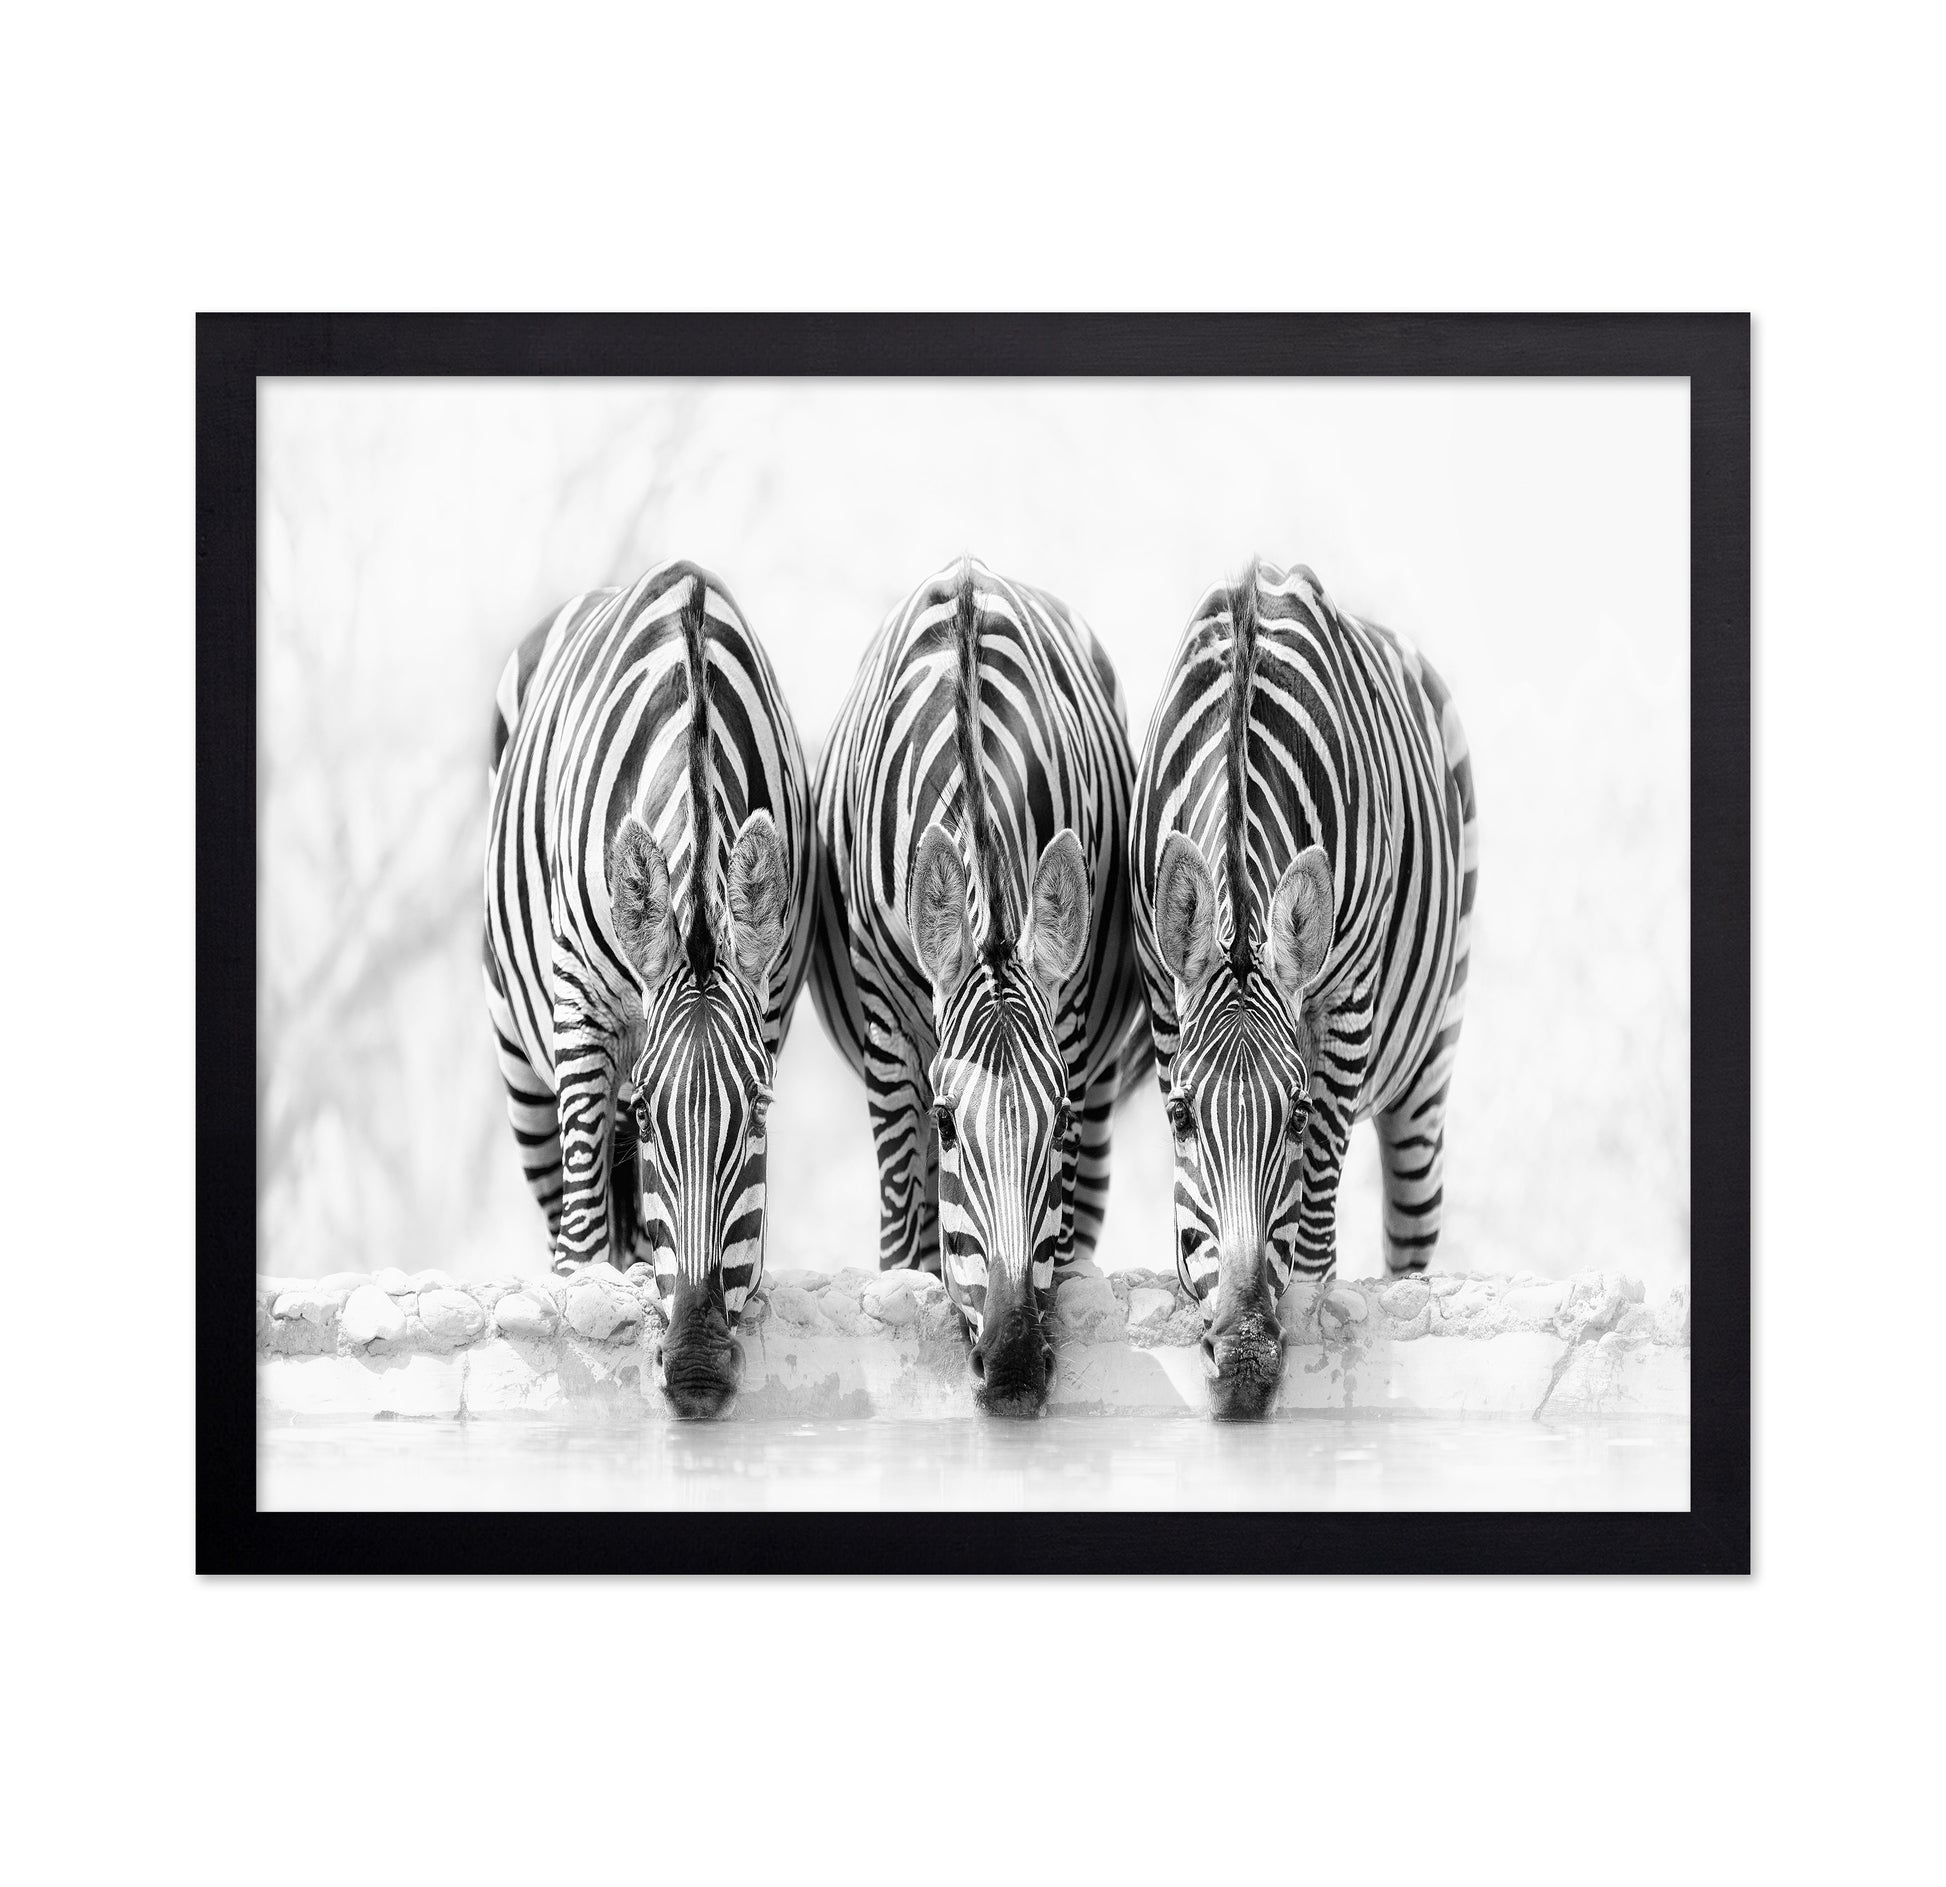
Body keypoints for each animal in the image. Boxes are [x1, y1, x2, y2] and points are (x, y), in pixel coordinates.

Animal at [482, 559, 814, 1418]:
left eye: (757, 1110)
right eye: (652, 1119)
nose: (696, 1371)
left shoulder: (769, 998)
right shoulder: (579, 1004)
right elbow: (587, 1224)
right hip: (520, 1059)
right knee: (568, 1200)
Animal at [809, 557, 1151, 1416]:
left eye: (1057, 1119)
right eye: (946, 1120)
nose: (1014, 1367)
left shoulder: (1069, 1021)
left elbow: (1057, 1227)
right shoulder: (888, 1032)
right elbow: (903, 1219)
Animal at [1130, 561, 1478, 1419]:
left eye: (1291, 1113)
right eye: (1181, 1115)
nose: (1246, 1359)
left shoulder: (1346, 993)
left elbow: (1320, 1165)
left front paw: (1312, 1300)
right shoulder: (1160, 986)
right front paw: (1195, 1279)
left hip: (1430, 1060)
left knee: (1411, 1224)